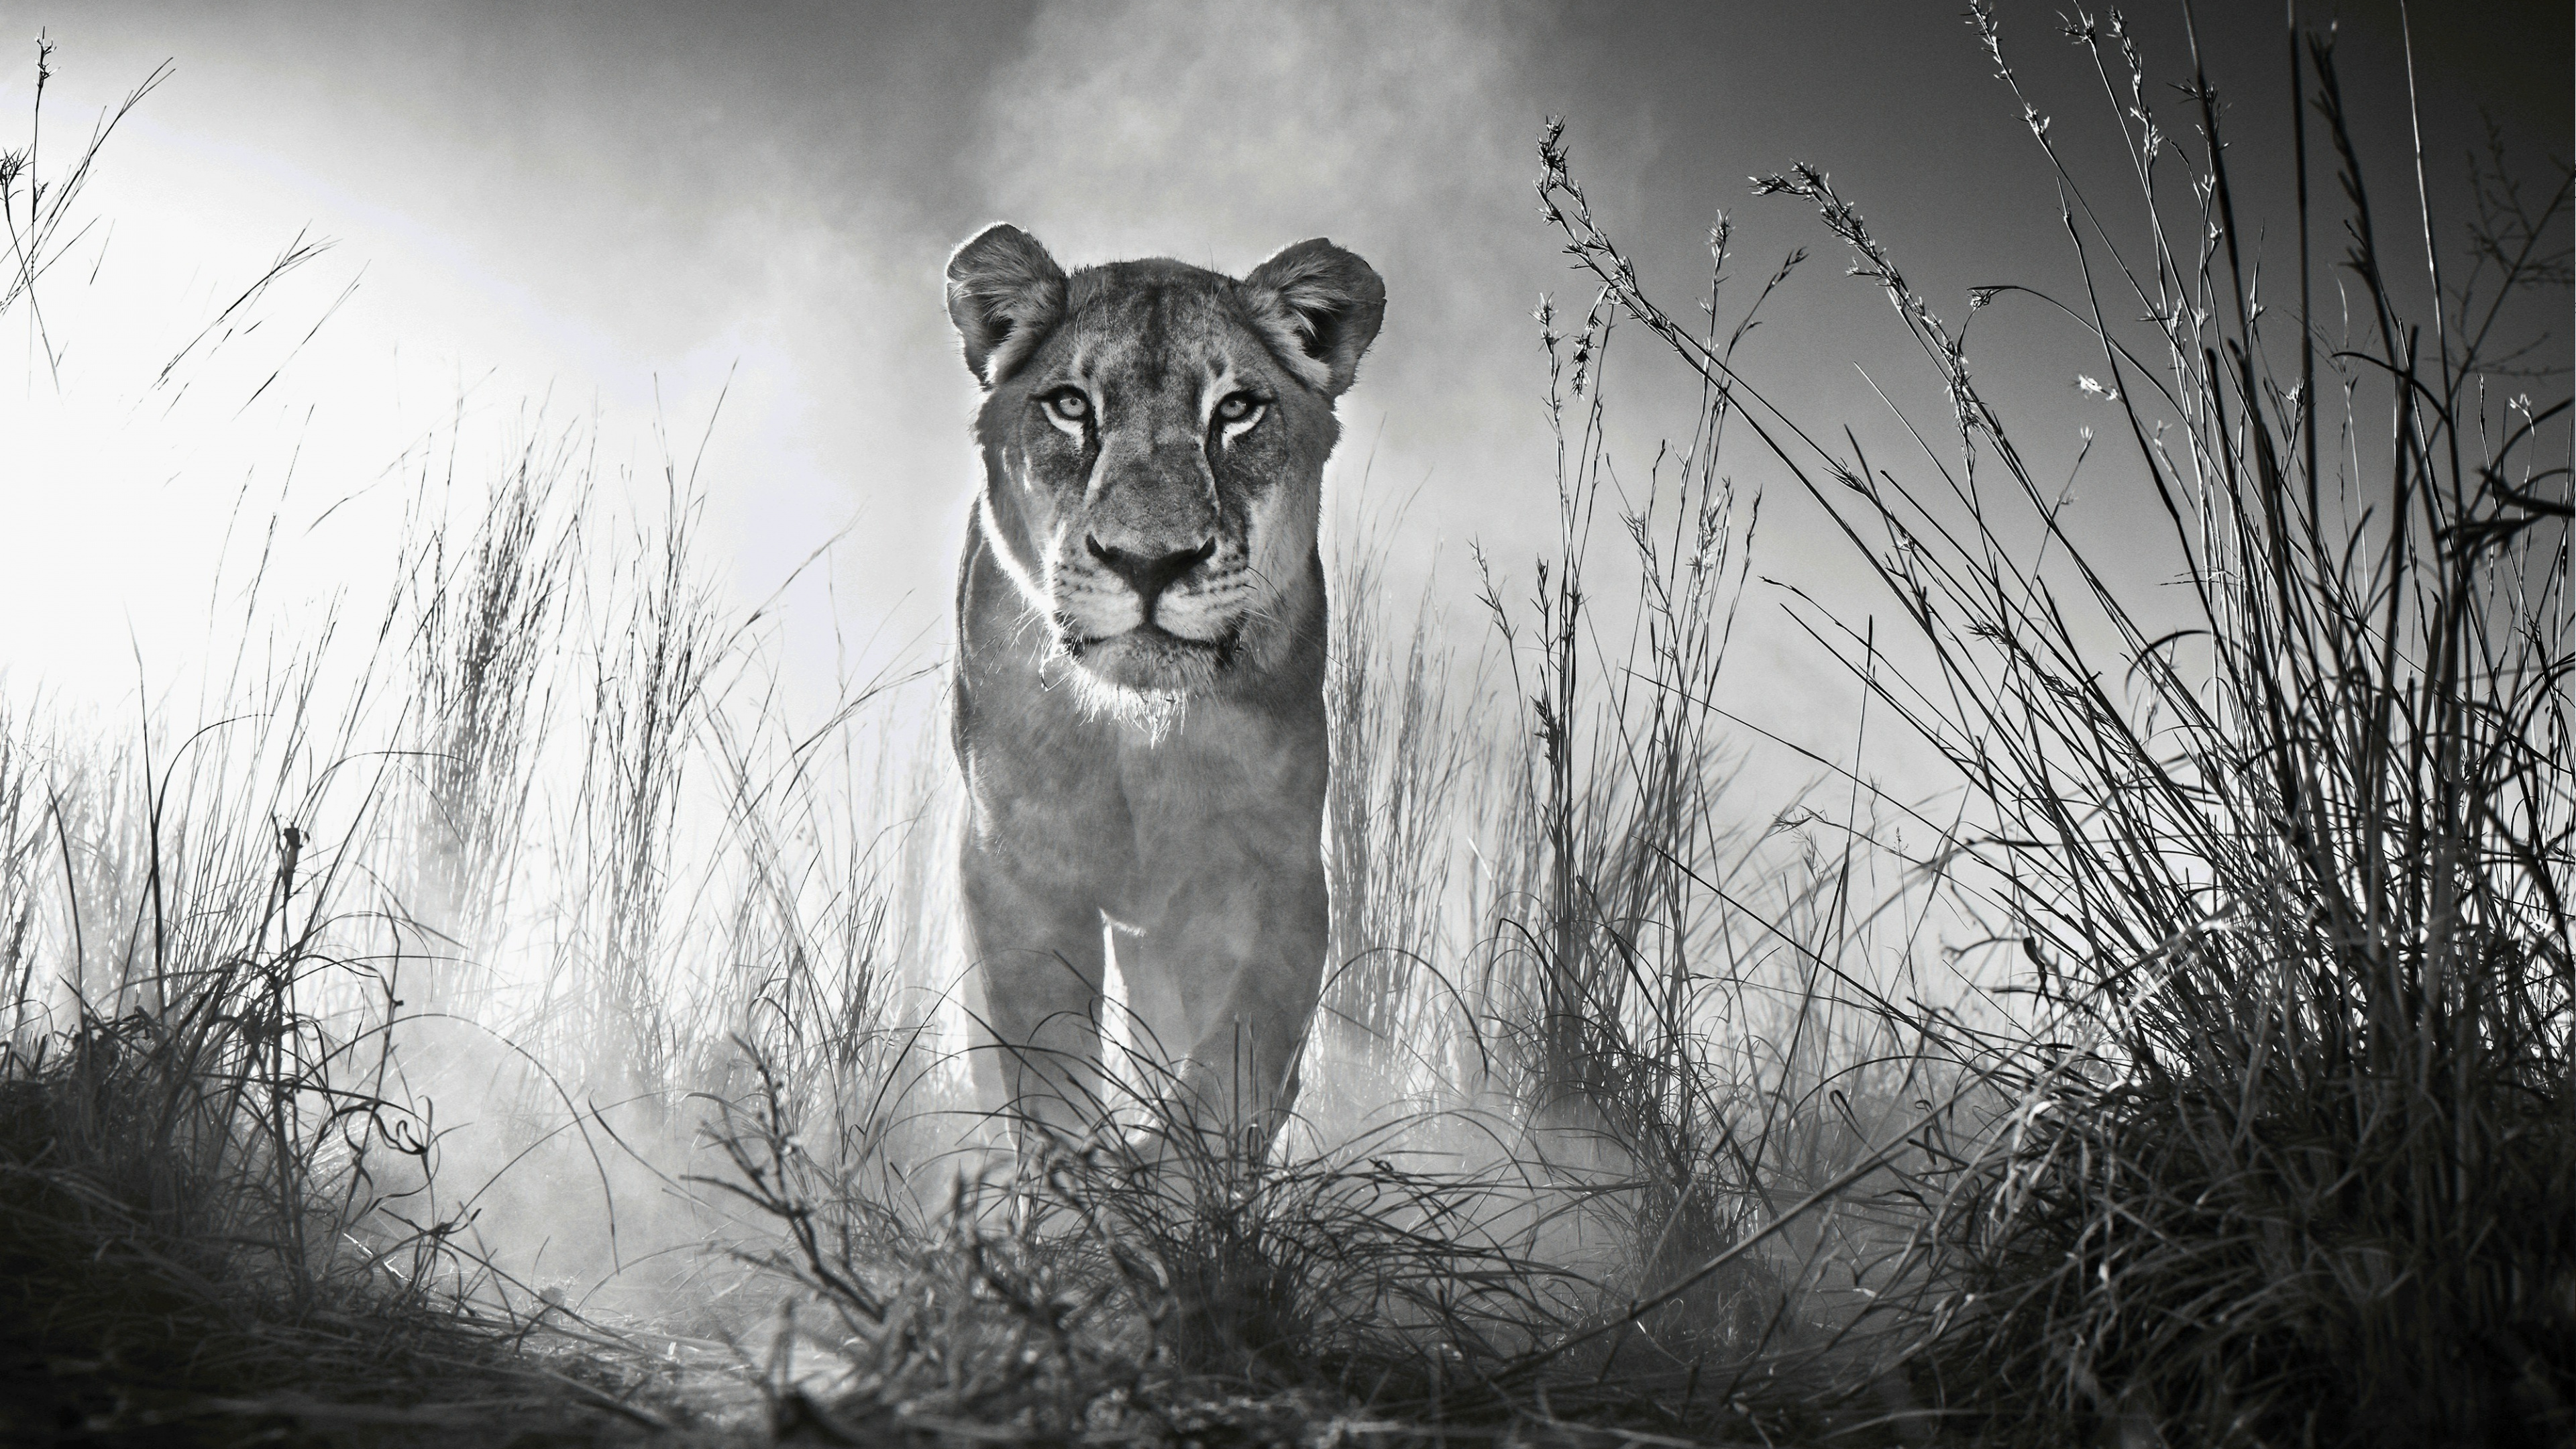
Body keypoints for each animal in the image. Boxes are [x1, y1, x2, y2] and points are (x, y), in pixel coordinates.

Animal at [942, 223, 1384, 1156]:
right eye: (1071, 406)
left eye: (1237, 409)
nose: (1149, 563)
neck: (1137, 736)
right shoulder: (1014, 866)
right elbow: (1046, 1063)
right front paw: (1078, 1180)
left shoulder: (1274, 872)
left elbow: (1236, 1060)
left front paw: (1171, 1173)